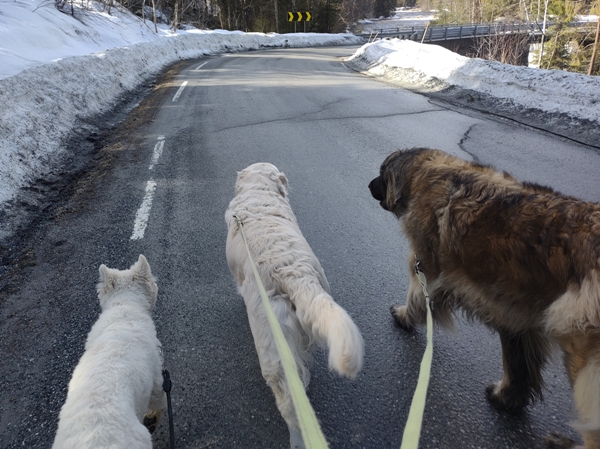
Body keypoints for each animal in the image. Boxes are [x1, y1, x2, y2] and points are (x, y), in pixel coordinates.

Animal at [368, 148, 600, 448]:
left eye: (381, 174)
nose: (369, 184)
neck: (428, 174)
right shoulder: (513, 311)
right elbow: (517, 363)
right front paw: (508, 397)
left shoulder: (427, 267)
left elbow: (418, 296)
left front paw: (404, 316)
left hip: (582, 350)